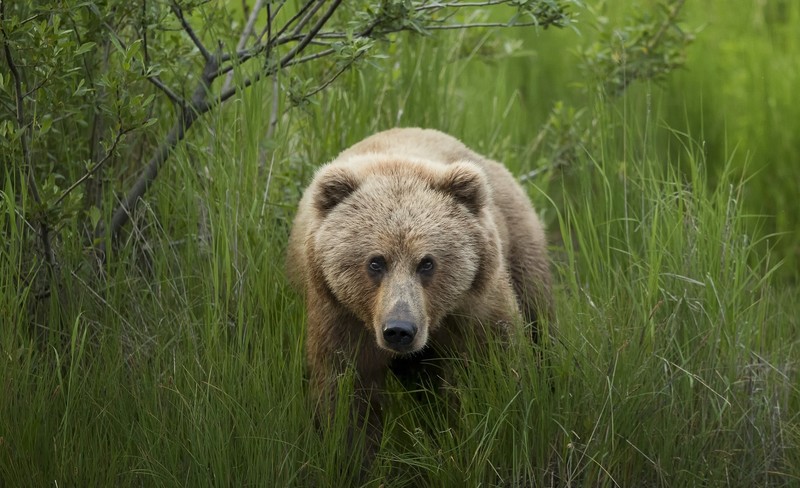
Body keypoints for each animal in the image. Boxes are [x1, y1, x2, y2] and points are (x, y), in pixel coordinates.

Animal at [287, 127, 552, 457]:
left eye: (427, 262)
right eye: (376, 262)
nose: (399, 330)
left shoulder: (474, 307)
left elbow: (494, 368)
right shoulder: (340, 317)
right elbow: (346, 395)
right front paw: (350, 452)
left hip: (521, 245)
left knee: (540, 317)